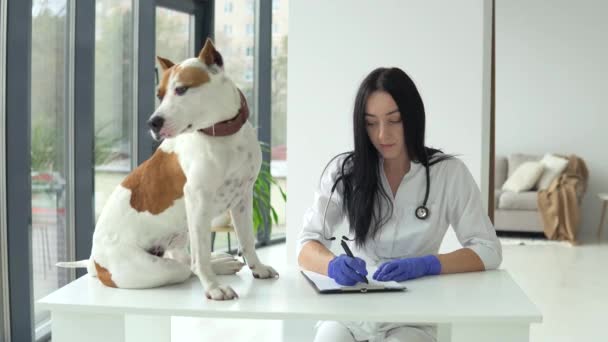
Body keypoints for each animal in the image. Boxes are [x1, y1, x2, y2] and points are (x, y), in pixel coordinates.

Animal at [58, 38, 276, 300]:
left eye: (181, 89)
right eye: (159, 94)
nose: (153, 122)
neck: (223, 136)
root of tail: (95, 262)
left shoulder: (243, 196)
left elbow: (247, 240)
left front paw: (258, 268)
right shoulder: (198, 200)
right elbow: (201, 256)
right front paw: (213, 287)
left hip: (182, 235)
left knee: (185, 258)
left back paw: (223, 262)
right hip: (156, 265)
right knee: (187, 266)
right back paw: (218, 266)